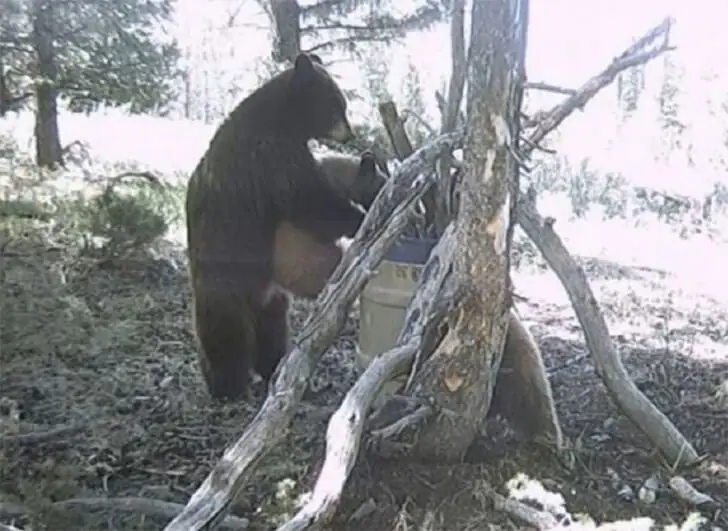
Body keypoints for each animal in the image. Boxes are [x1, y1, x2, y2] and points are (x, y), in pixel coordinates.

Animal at [186, 52, 370, 401]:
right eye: (337, 105)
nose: (350, 134)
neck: (282, 121)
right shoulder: (269, 156)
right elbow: (308, 200)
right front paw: (356, 218)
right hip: (225, 275)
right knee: (224, 332)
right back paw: (227, 384)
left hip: (270, 295)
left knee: (272, 329)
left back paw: (272, 366)